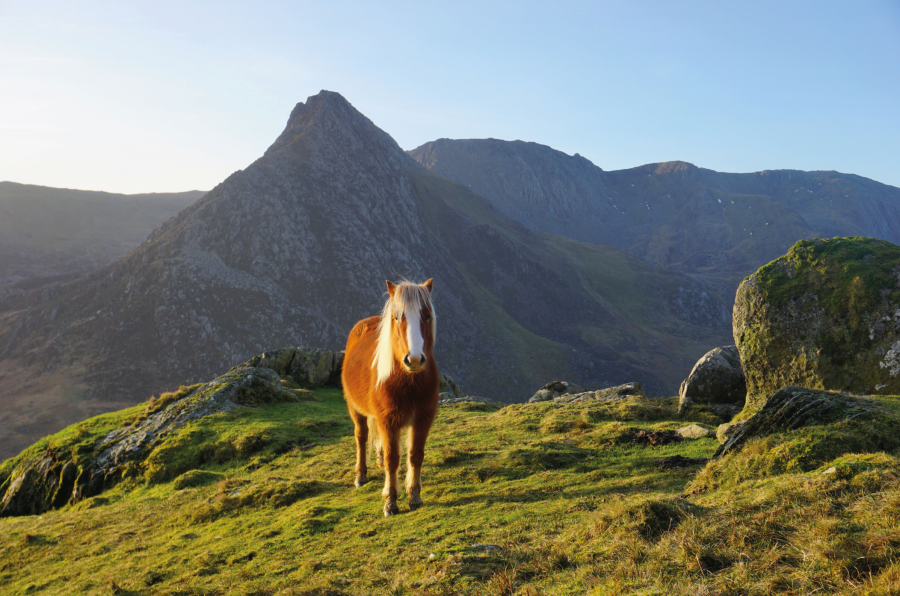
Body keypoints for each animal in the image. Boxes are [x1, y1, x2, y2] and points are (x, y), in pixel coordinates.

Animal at [342, 280, 440, 516]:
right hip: (355, 409)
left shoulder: (423, 418)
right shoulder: (388, 421)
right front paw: (391, 501)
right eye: (397, 316)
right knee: (361, 437)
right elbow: (392, 458)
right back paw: (361, 476)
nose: (414, 359)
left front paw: (414, 496)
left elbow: (415, 454)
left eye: (426, 316)